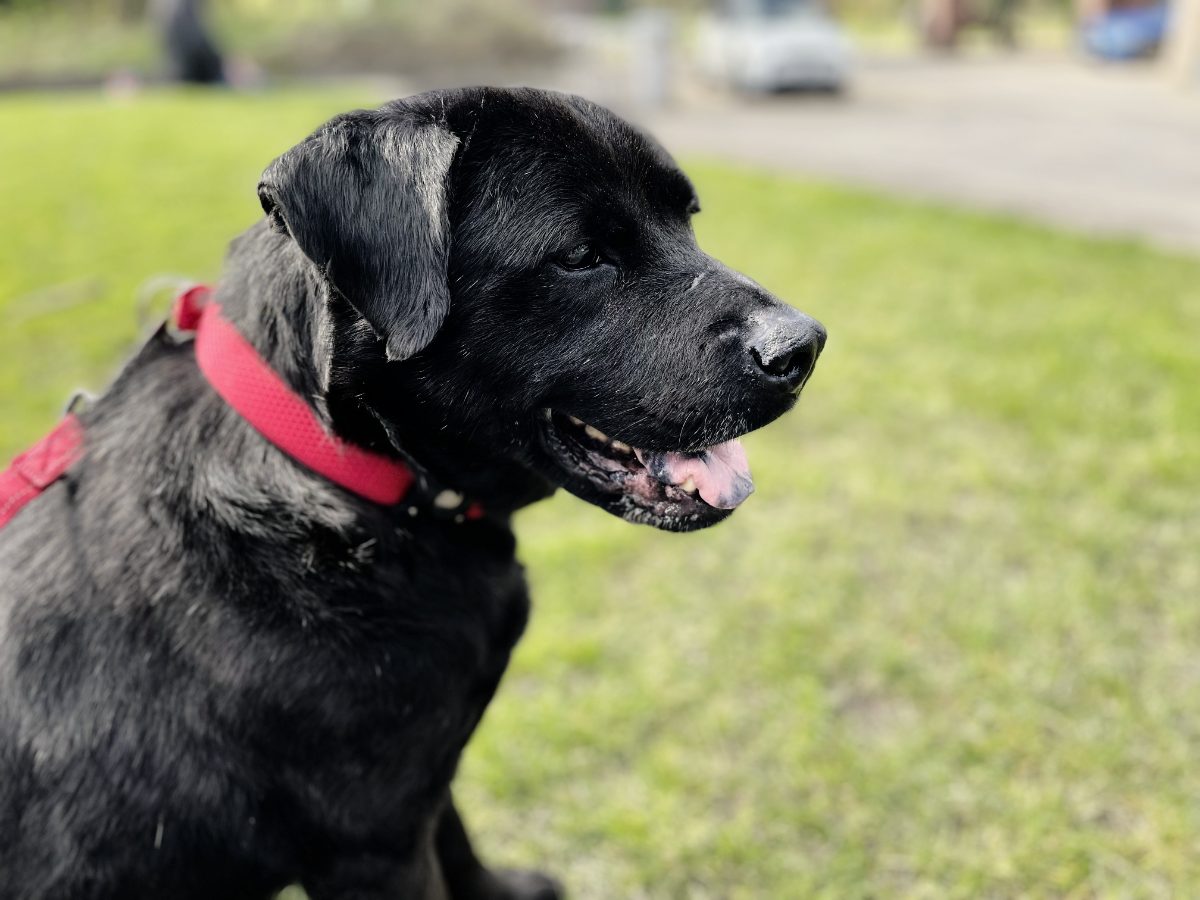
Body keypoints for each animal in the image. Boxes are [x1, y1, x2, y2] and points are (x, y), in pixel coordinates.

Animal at [0, 86, 825, 900]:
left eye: (687, 220)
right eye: (582, 256)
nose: (804, 346)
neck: (343, 480)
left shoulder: (421, 788)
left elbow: (457, 833)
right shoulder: (374, 842)